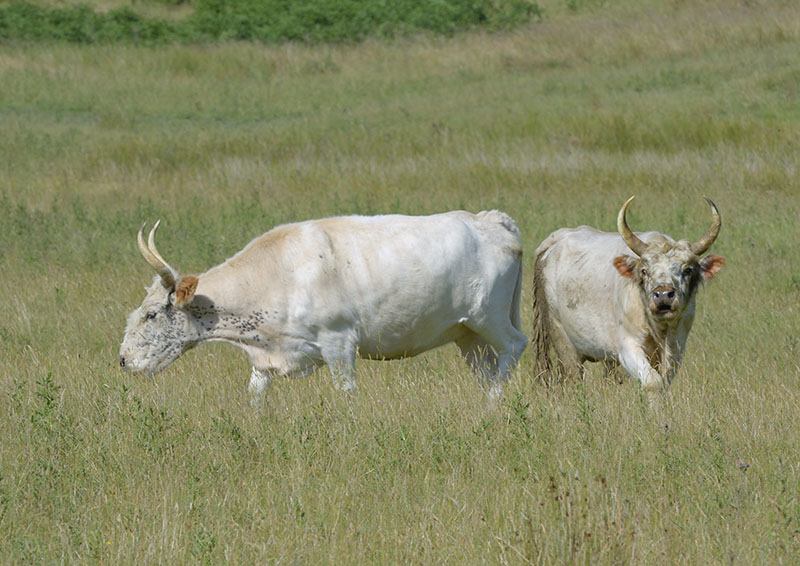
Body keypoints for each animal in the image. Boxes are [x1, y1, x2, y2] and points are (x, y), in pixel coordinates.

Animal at [119, 211, 528, 404]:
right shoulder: (264, 359)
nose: (123, 360)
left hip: (490, 318)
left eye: (152, 314)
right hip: (466, 334)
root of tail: (490, 220)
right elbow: (254, 397)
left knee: (514, 347)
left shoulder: (338, 344)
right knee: (486, 368)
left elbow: (347, 394)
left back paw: (493, 403)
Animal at [531, 196, 724, 401]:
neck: (659, 330)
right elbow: (652, 381)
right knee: (572, 379)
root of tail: (554, 241)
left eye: (687, 269)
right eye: (644, 270)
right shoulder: (628, 347)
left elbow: (664, 382)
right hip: (564, 342)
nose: (663, 295)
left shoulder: (676, 347)